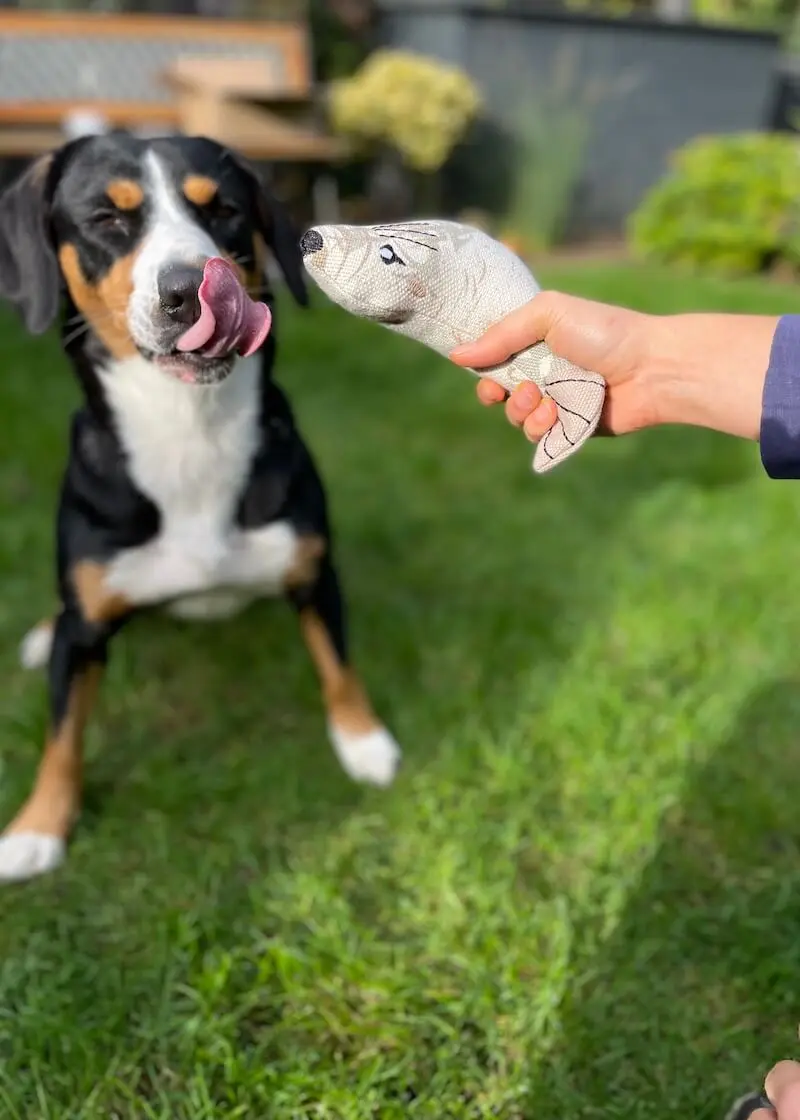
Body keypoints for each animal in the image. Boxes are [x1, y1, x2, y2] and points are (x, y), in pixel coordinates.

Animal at [0, 131, 398, 882]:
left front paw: (362, 740)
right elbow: (63, 734)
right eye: (107, 219)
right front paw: (37, 828)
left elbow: (338, 664)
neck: (192, 432)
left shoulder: (313, 574)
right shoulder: (83, 632)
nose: (190, 288)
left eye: (225, 211)